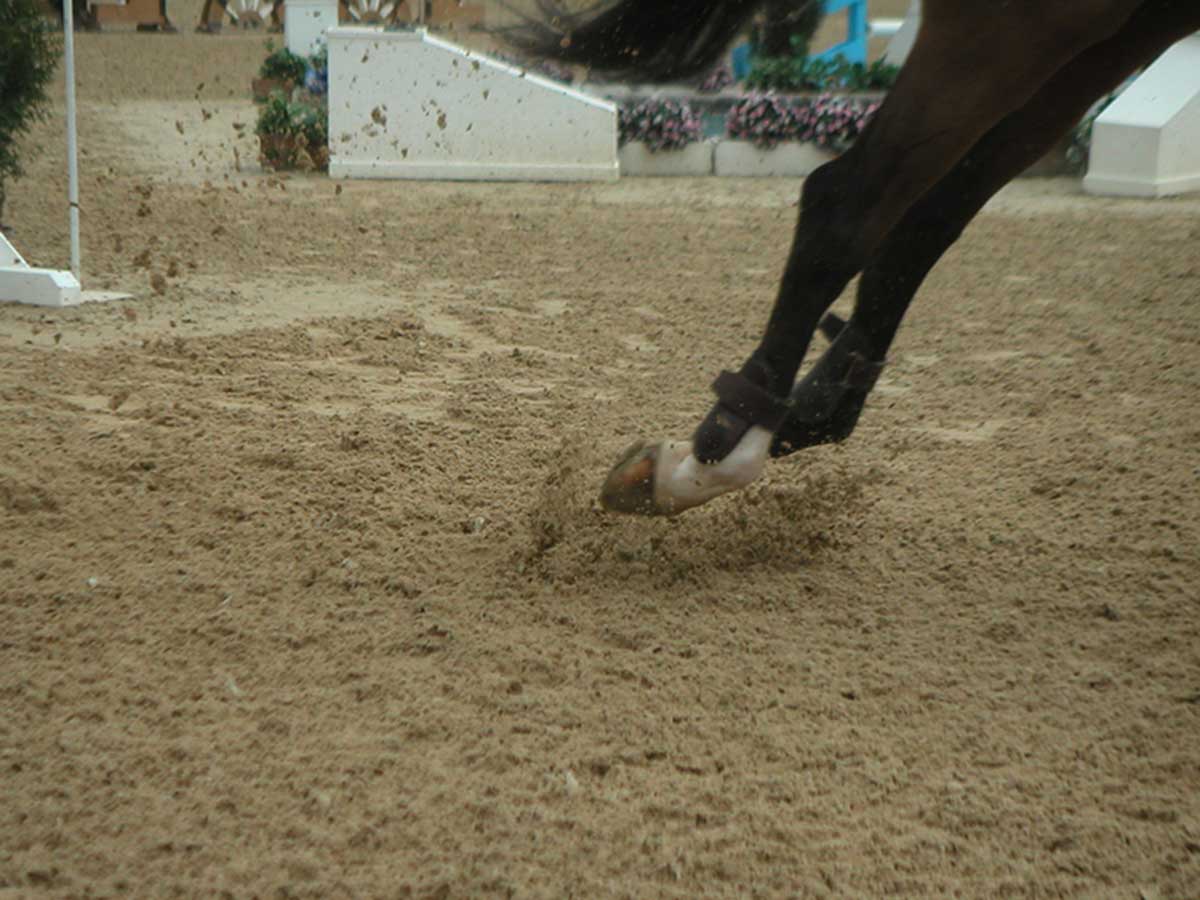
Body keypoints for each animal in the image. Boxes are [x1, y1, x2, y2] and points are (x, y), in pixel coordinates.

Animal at [511, 3, 1200, 518]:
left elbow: (930, 221)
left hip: (1096, 39)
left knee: (923, 216)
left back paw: (802, 413)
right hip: (1030, 27)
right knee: (850, 202)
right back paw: (722, 450)